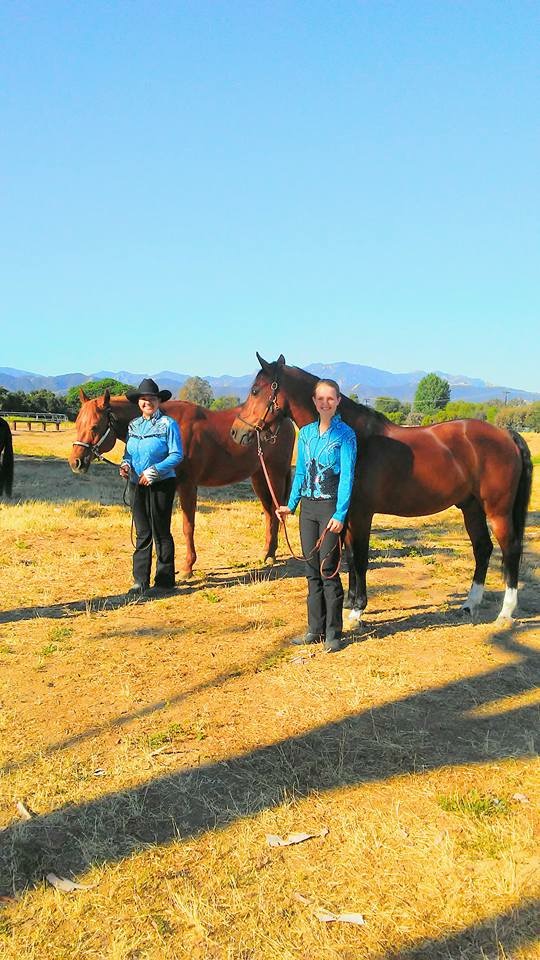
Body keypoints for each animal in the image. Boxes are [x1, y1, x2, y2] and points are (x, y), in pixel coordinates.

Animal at [69, 388, 295, 576]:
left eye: (94, 426)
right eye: (78, 423)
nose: (76, 462)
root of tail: (285, 422)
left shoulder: (187, 486)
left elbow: (188, 526)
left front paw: (187, 567)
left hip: (274, 475)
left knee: (275, 511)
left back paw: (270, 555)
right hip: (259, 477)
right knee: (269, 512)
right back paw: (267, 553)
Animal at [230, 354, 533, 624]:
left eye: (255, 390)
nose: (236, 432)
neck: (355, 438)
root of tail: (506, 434)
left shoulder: (361, 515)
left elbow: (360, 558)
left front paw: (357, 611)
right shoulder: (345, 517)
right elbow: (350, 557)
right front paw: (350, 603)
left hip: (498, 511)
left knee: (510, 549)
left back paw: (505, 613)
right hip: (471, 507)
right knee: (482, 548)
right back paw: (470, 604)